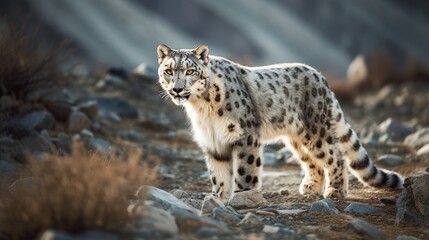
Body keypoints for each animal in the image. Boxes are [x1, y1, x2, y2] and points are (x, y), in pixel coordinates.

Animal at [156, 44, 402, 203]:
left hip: (316, 132)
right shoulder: (213, 142)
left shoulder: (246, 135)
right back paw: (311, 187)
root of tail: (322, 79)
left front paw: (242, 196)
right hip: (297, 140)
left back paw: (335, 190)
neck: (201, 109)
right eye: (168, 70)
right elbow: (219, 175)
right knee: (313, 162)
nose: (177, 89)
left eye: (190, 71)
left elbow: (245, 169)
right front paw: (218, 199)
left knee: (336, 156)